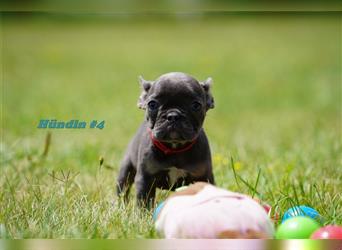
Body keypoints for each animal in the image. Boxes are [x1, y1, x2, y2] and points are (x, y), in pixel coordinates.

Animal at [116, 71, 215, 206]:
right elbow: (144, 201)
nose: (173, 116)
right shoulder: (145, 179)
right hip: (125, 170)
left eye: (196, 106)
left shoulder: (203, 176)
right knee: (123, 189)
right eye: (152, 104)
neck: (175, 148)